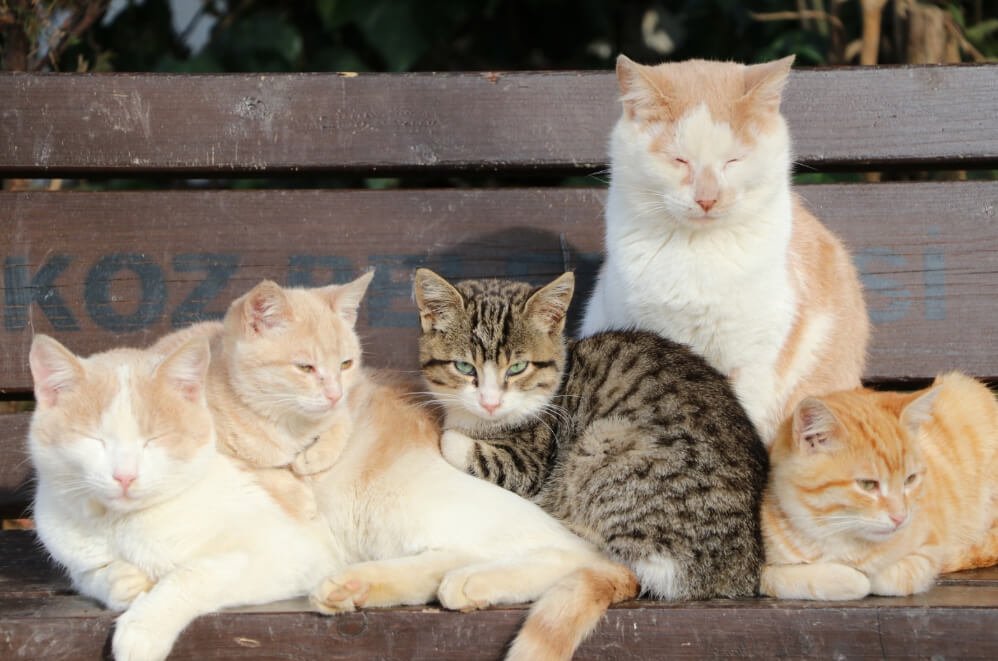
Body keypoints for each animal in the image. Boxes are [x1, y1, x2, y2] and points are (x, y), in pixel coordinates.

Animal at [29, 336, 342, 660]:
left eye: (154, 439)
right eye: (94, 440)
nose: (125, 476)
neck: (121, 526)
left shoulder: (294, 554)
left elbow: (194, 573)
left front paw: (142, 628)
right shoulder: (79, 564)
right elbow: (96, 577)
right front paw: (125, 580)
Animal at [414, 266, 772, 600]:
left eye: (517, 368)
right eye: (464, 367)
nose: (490, 402)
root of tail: (741, 571)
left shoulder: (533, 462)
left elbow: (462, 445)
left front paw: (452, 436)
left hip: (603, 442)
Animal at [760, 372, 996, 600]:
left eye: (910, 479)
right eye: (867, 484)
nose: (900, 517)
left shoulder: (930, 546)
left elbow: (891, 577)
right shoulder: (762, 572)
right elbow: (792, 579)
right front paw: (847, 578)